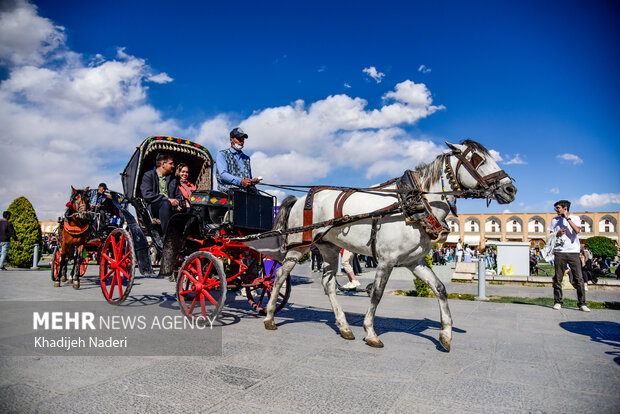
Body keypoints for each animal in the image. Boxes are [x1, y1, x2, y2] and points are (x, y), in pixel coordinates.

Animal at [264, 141, 516, 350]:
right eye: (477, 159)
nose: (510, 189)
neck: (413, 204)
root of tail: (299, 199)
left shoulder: (415, 261)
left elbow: (440, 289)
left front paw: (446, 335)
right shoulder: (386, 260)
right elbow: (376, 293)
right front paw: (371, 332)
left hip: (328, 247)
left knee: (327, 284)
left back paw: (343, 326)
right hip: (298, 246)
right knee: (279, 276)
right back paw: (269, 316)